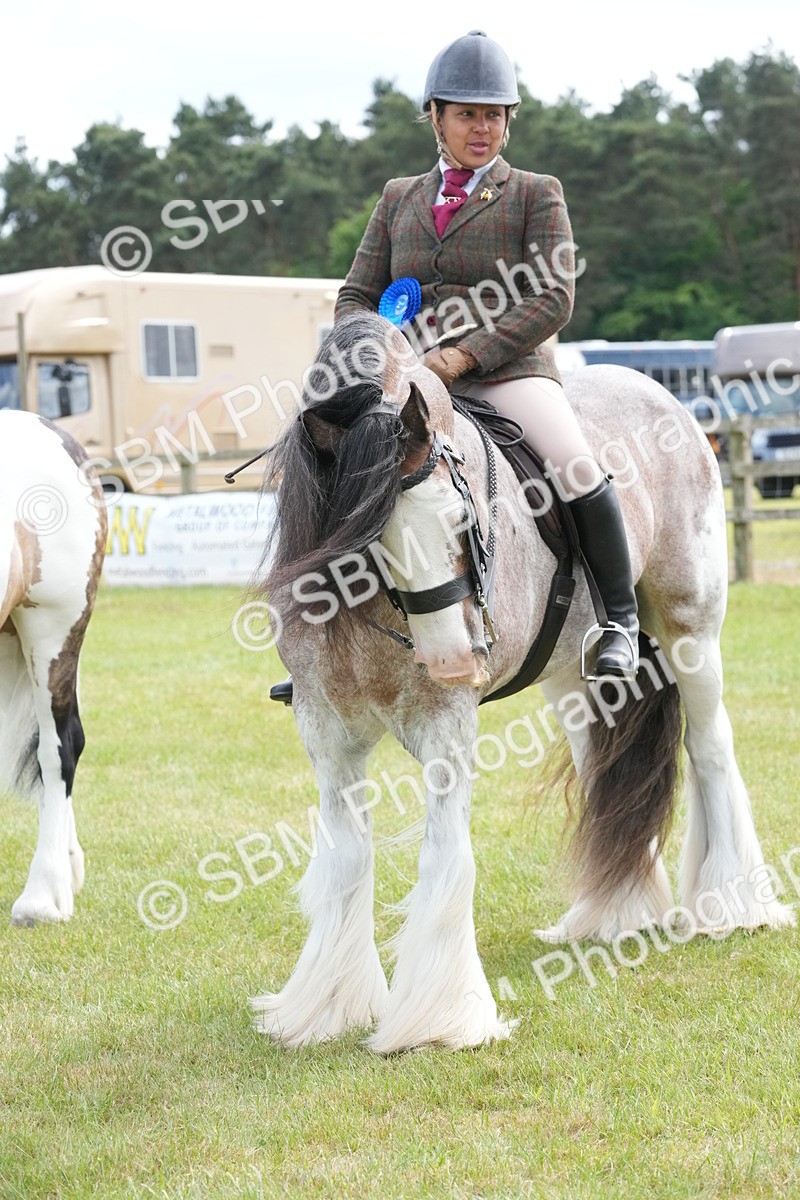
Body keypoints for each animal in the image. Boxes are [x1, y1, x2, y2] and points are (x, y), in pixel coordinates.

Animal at [251, 312, 793, 1053]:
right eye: (368, 540)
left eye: (462, 520)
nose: (455, 659)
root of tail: (660, 395)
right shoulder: (327, 733)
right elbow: (345, 861)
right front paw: (327, 1010)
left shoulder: (447, 729)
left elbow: (446, 861)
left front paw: (441, 1021)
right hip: (573, 674)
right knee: (603, 768)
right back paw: (613, 913)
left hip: (691, 630)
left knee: (711, 748)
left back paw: (731, 904)